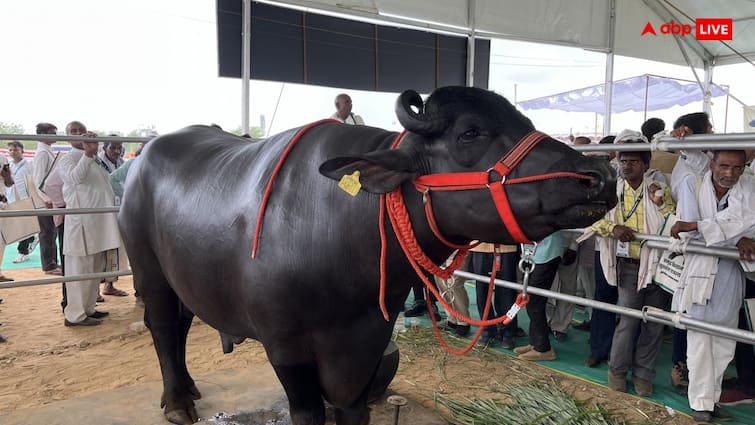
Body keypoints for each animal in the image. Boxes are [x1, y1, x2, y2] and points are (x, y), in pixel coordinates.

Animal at [118, 87, 616, 424]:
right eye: (470, 133)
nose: (600, 176)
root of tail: (142, 159)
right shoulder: (286, 349)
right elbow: (308, 412)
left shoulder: (367, 343)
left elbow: (353, 409)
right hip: (148, 271)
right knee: (163, 328)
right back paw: (177, 402)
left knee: (181, 324)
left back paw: (188, 388)